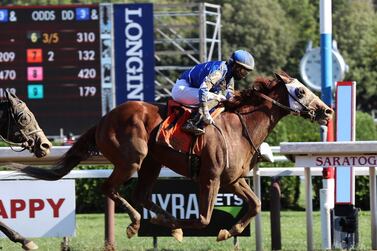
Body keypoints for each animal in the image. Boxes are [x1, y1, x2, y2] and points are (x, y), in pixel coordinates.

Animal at [8, 72, 332, 241]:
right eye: (300, 92)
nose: (327, 111)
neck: (239, 127)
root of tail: (103, 119)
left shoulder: (234, 179)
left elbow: (256, 204)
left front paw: (229, 231)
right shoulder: (210, 178)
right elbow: (202, 219)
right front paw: (188, 228)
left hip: (152, 162)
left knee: (139, 194)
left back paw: (166, 221)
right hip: (132, 159)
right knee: (110, 188)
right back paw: (138, 223)